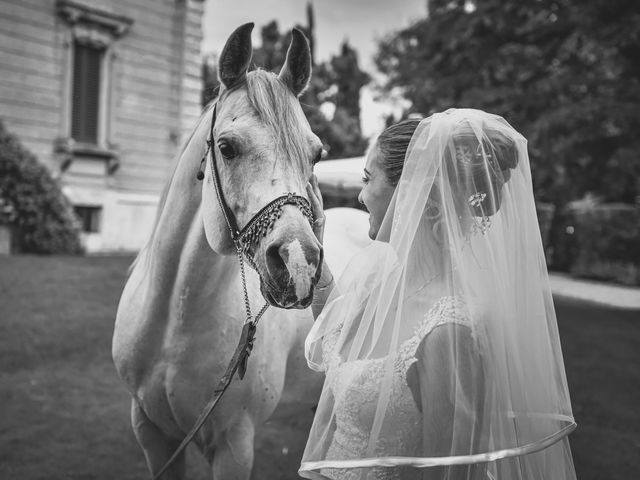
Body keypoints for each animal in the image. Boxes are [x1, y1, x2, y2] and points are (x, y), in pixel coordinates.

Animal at [112, 23, 368, 480]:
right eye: (227, 148)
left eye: (316, 154)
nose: (299, 263)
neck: (175, 320)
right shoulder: (152, 432)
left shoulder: (234, 443)